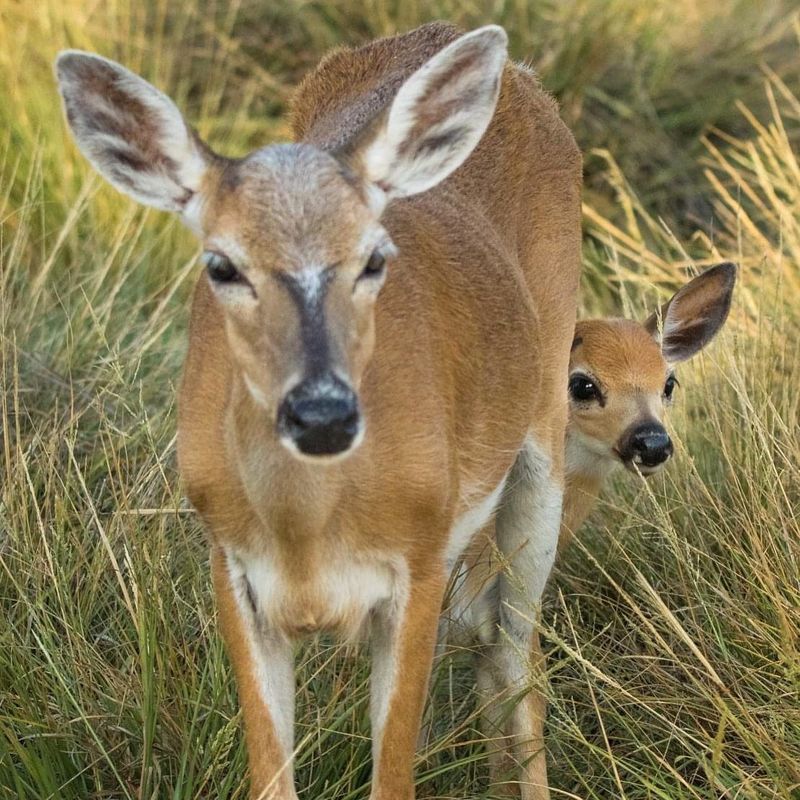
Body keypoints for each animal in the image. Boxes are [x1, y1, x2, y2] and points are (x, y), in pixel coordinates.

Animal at [56, 21, 582, 800]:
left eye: (374, 259)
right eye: (222, 265)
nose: (322, 414)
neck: (307, 532)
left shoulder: (420, 561)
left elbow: (394, 779)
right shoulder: (231, 566)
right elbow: (271, 778)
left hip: (543, 437)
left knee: (515, 651)